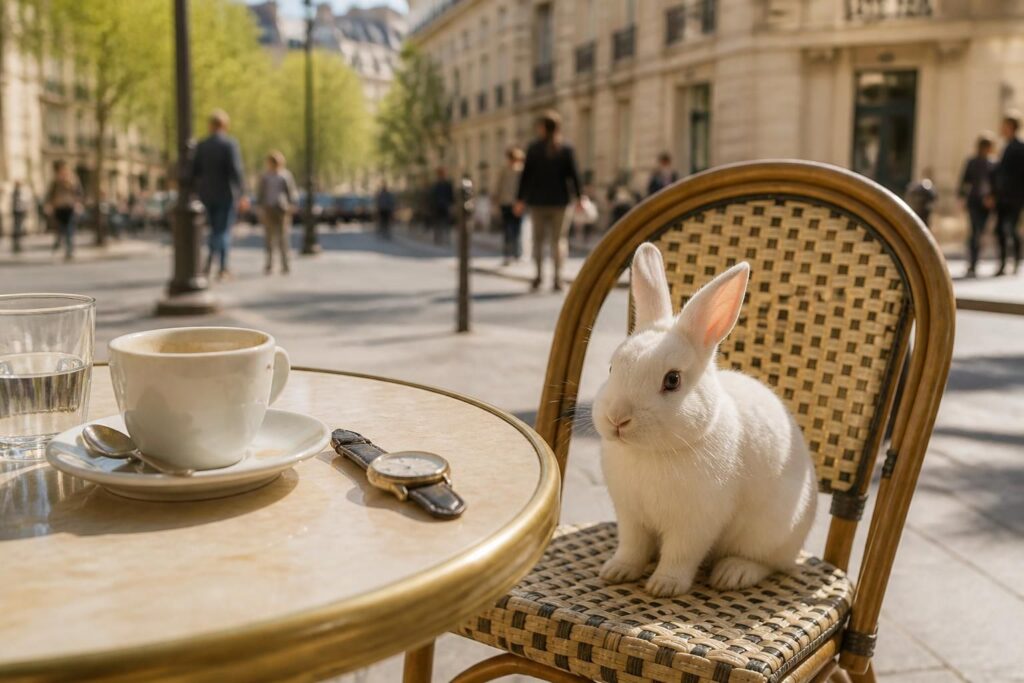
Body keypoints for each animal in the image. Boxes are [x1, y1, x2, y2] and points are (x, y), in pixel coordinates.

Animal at [592, 243, 818, 598]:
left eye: (672, 380)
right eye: (613, 367)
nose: (617, 419)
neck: (651, 453)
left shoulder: (695, 523)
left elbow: (681, 555)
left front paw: (664, 587)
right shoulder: (630, 516)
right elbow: (632, 547)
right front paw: (616, 571)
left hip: (772, 533)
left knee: (770, 563)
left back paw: (733, 574)